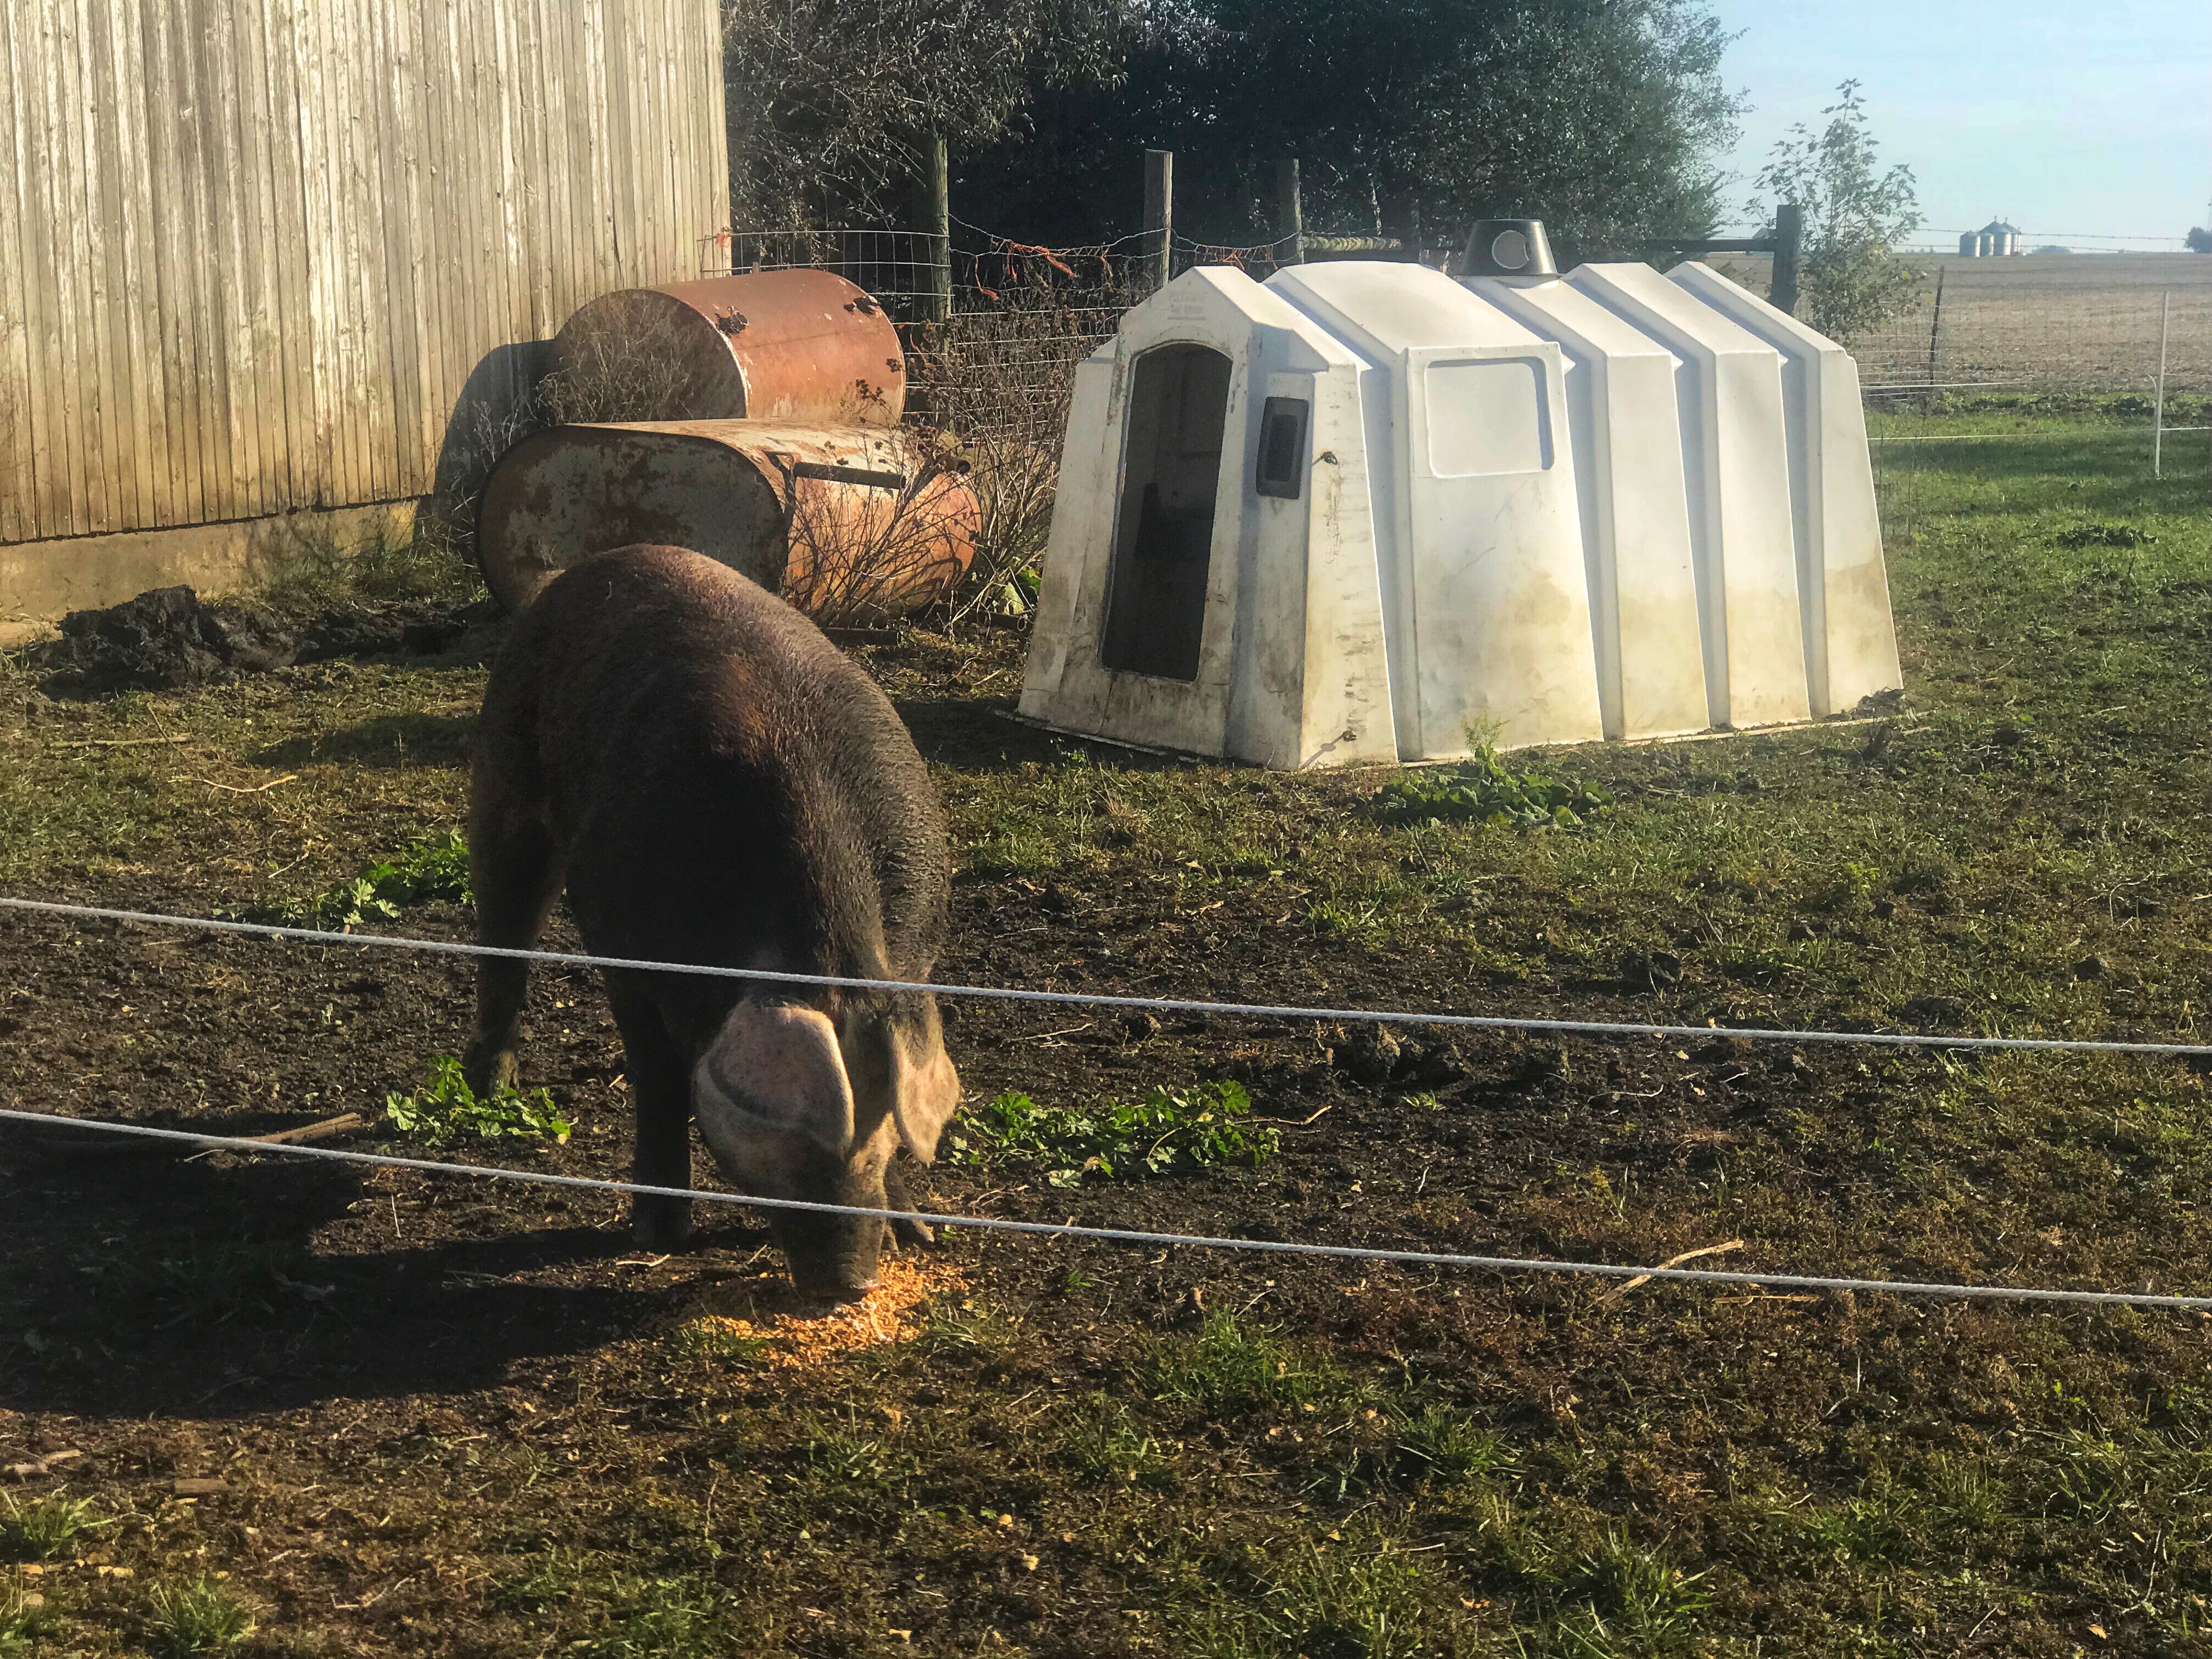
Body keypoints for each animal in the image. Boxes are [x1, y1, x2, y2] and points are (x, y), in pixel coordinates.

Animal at [460, 544, 962, 1299]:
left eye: (878, 1145)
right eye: (791, 1150)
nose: (850, 1286)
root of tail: (595, 562)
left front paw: (922, 1235)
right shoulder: (623, 946)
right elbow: (660, 1075)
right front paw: (659, 1236)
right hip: (505, 765)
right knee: (504, 927)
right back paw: (491, 1087)